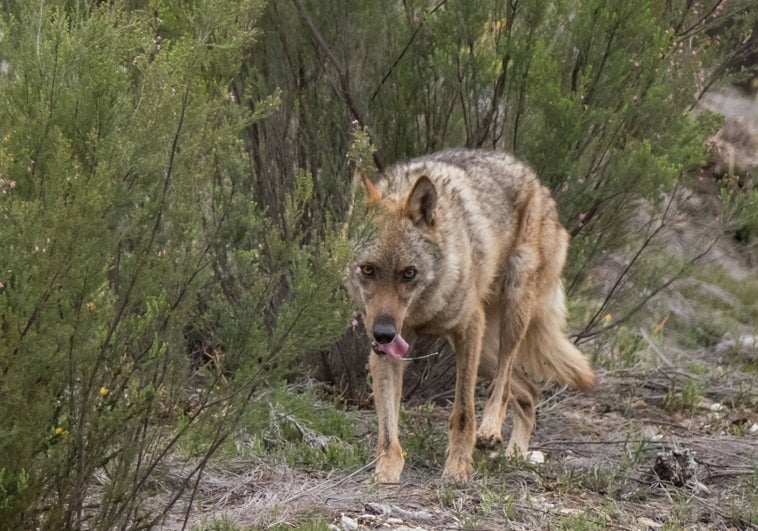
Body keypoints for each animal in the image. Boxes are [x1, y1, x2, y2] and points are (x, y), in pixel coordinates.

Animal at [348, 148, 596, 484]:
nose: (384, 333)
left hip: (509, 316)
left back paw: (491, 431)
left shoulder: (468, 329)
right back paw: (514, 455)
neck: (423, 309)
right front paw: (386, 470)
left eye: (409, 273)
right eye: (368, 270)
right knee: (529, 391)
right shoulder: (386, 352)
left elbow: (464, 411)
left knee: (503, 385)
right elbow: (387, 425)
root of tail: (539, 185)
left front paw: (458, 468)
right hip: (486, 352)